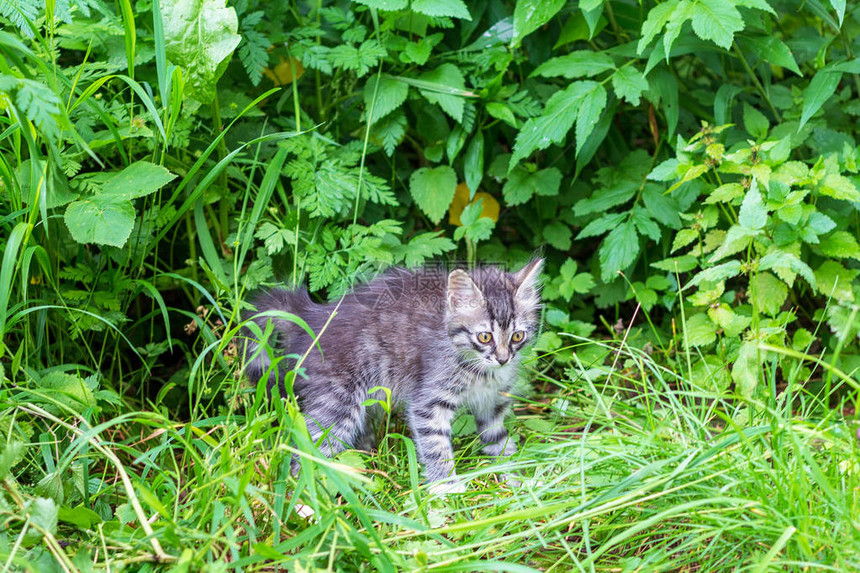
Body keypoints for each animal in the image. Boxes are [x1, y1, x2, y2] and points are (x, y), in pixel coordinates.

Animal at [242, 260, 540, 492]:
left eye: (517, 336)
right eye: (485, 337)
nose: (503, 358)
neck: (484, 373)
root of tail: (312, 316)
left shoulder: (493, 404)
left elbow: (499, 440)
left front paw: (516, 479)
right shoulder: (428, 401)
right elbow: (436, 445)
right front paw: (447, 489)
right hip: (338, 403)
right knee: (307, 452)